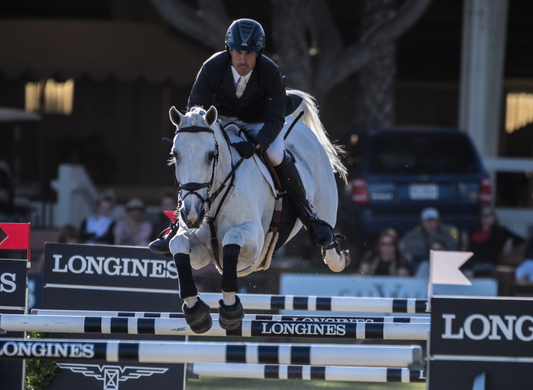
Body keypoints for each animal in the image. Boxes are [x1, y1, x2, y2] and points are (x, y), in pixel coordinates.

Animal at [168, 90, 348, 334]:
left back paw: (336, 254)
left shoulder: (253, 246)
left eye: (210, 155)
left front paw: (230, 309)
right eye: (175, 155)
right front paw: (195, 312)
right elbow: (177, 244)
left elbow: (232, 238)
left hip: (325, 205)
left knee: (327, 244)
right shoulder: (199, 249)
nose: (192, 215)